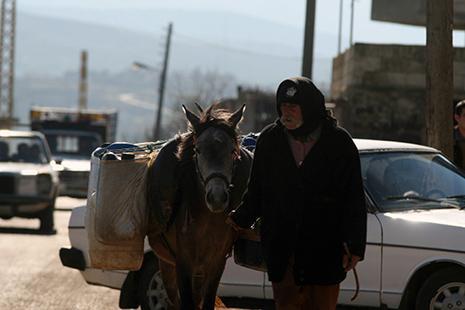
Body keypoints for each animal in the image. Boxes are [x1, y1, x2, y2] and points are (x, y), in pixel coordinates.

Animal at [147, 103, 252, 310]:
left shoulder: (217, 263)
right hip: (167, 265)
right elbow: (186, 303)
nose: (217, 197)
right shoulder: (183, 263)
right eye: (198, 150)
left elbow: (208, 301)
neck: (207, 221)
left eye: (232, 151)